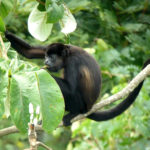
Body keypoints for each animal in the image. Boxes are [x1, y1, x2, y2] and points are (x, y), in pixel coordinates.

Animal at [4, 31, 150, 125]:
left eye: (51, 57)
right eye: (46, 56)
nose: (45, 61)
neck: (67, 55)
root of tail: (90, 107)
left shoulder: (72, 62)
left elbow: (70, 89)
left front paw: (40, 72)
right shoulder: (50, 47)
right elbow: (29, 51)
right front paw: (6, 33)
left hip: (81, 105)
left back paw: (73, 114)